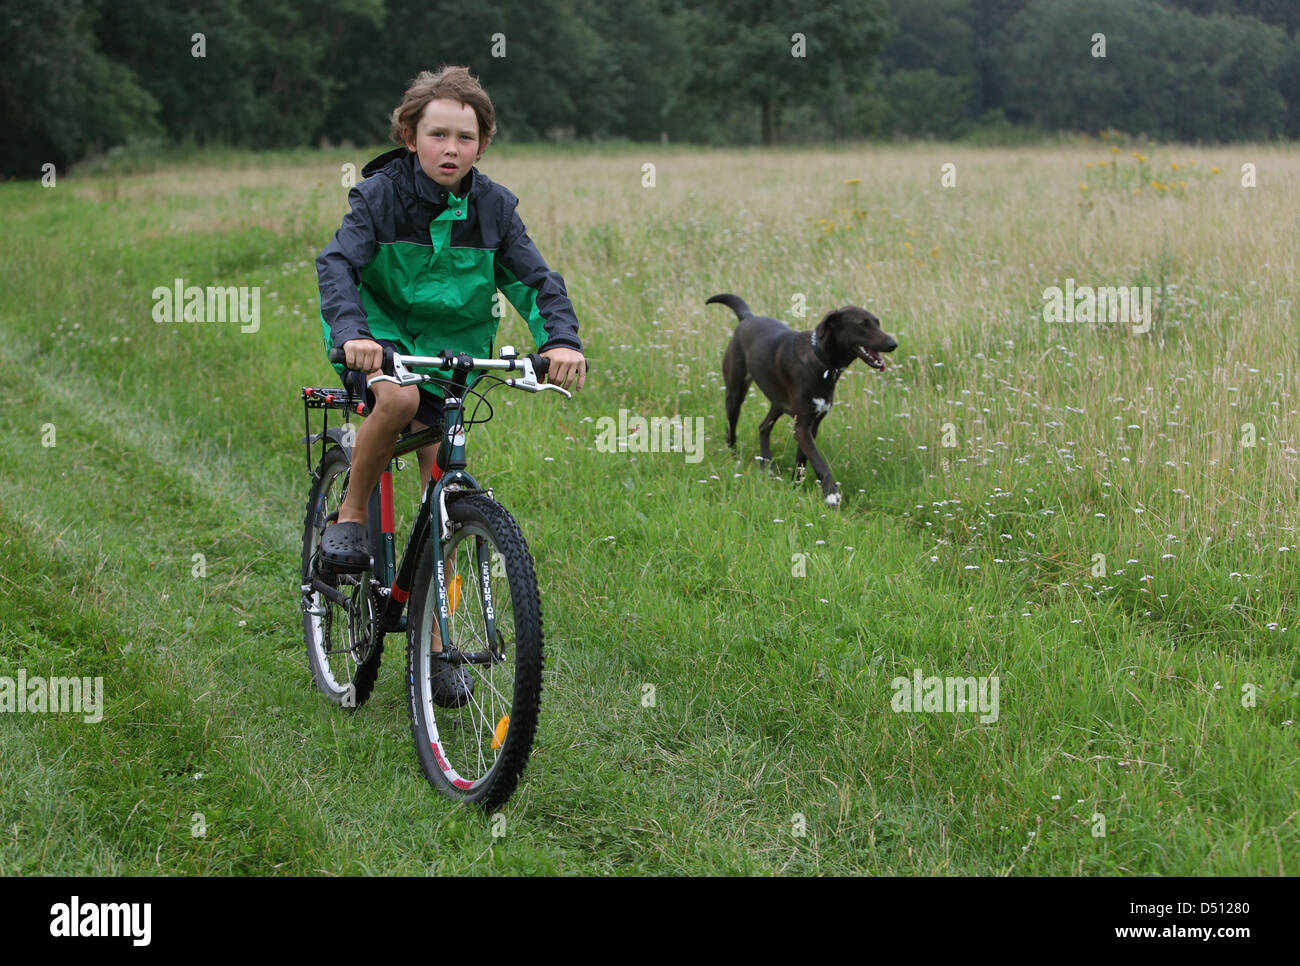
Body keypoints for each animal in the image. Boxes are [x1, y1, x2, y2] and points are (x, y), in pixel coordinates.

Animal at [707, 292, 899, 507]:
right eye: (862, 324)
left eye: (877, 323)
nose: (893, 344)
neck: (823, 363)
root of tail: (748, 317)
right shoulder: (802, 427)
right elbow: (818, 462)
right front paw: (831, 494)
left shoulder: (811, 426)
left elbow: (802, 460)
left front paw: (795, 487)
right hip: (735, 394)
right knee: (731, 428)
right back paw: (734, 458)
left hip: (778, 402)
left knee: (763, 427)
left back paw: (767, 467)